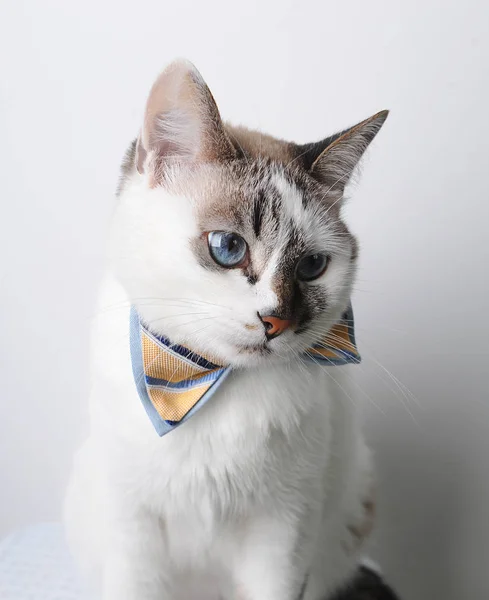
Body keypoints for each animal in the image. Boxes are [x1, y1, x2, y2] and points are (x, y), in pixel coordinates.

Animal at [63, 57, 388, 600]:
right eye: (228, 248)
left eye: (312, 267)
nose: (277, 320)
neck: (206, 383)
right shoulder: (132, 531)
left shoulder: (283, 532)